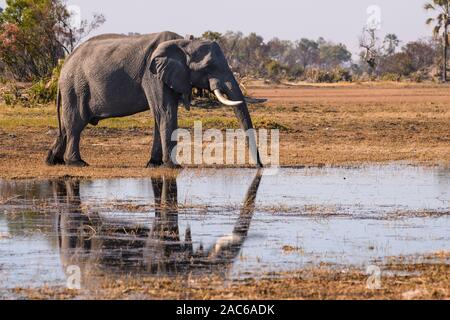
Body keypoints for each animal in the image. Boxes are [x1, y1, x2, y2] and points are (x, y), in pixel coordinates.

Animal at [44, 31, 264, 169]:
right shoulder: (152, 76)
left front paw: (154, 164)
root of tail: (64, 65)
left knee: (66, 127)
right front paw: (174, 167)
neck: (183, 42)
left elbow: (161, 116)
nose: (260, 167)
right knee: (75, 124)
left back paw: (52, 161)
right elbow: (165, 112)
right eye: (209, 67)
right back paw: (77, 163)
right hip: (75, 86)